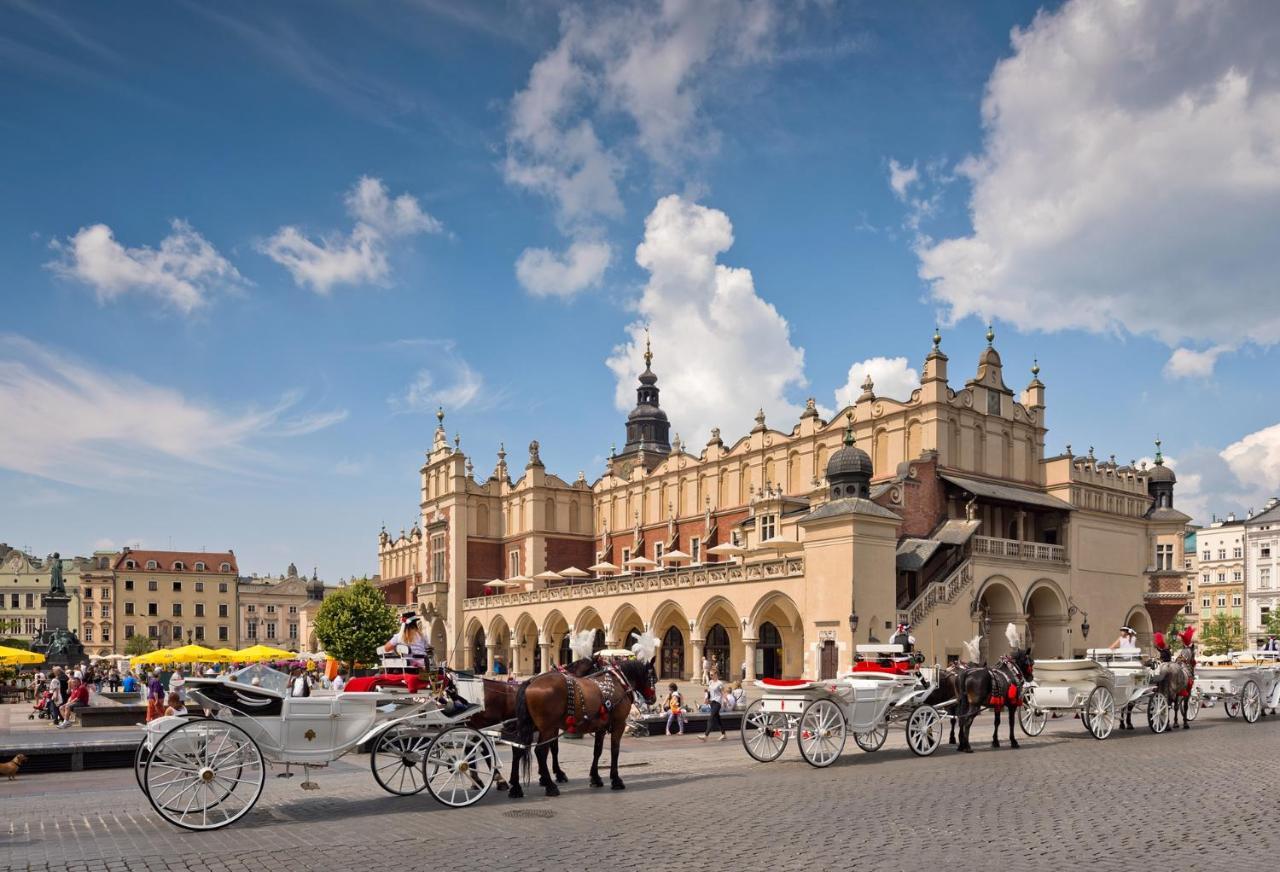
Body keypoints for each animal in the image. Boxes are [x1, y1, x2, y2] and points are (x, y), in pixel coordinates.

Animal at [504, 660, 655, 793]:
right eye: (652, 678)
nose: (653, 699)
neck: (619, 682)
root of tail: (530, 682)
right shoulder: (619, 723)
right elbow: (615, 750)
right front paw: (616, 780)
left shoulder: (600, 727)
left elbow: (597, 751)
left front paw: (595, 778)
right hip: (547, 728)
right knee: (540, 752)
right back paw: (550, 786)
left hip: (530, 726)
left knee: (518, 748)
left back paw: (516, 788)